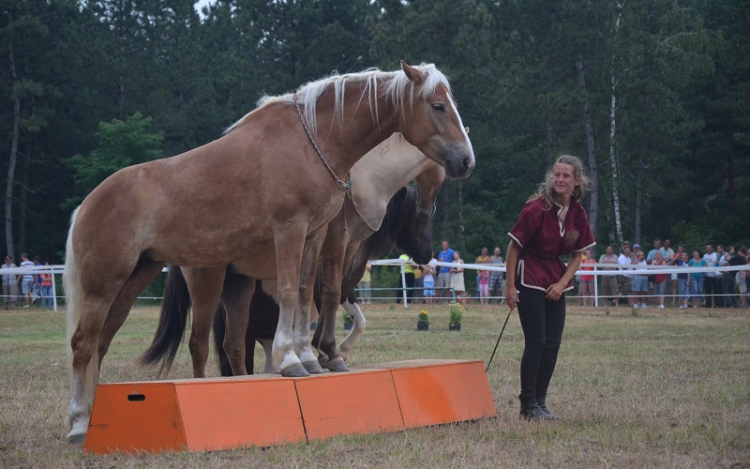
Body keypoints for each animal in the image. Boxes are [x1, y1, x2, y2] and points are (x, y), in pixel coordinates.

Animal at [140, 135, 446, 376]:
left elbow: (349, 315)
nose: (427, 253)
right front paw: (326, 353)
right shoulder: (334, 251)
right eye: (419, 218)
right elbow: (328, 301)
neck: (360, 185)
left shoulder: (342, 270)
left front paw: (327, 353)